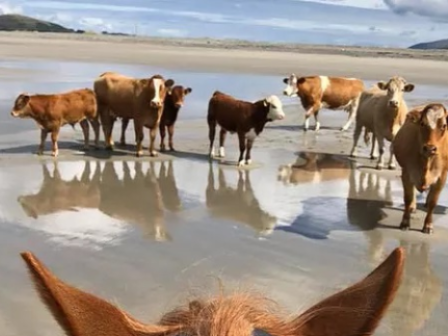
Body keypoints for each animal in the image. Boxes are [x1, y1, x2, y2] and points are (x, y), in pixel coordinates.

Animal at [392, 102, 448, 234]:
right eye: (422, 123)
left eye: (444, 126)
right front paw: (405, 222)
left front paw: (428, 225)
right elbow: (407, 198)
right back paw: (413, 207)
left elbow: (433, 202)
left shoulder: (442, 177)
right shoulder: (407, 172)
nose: (430, 148)